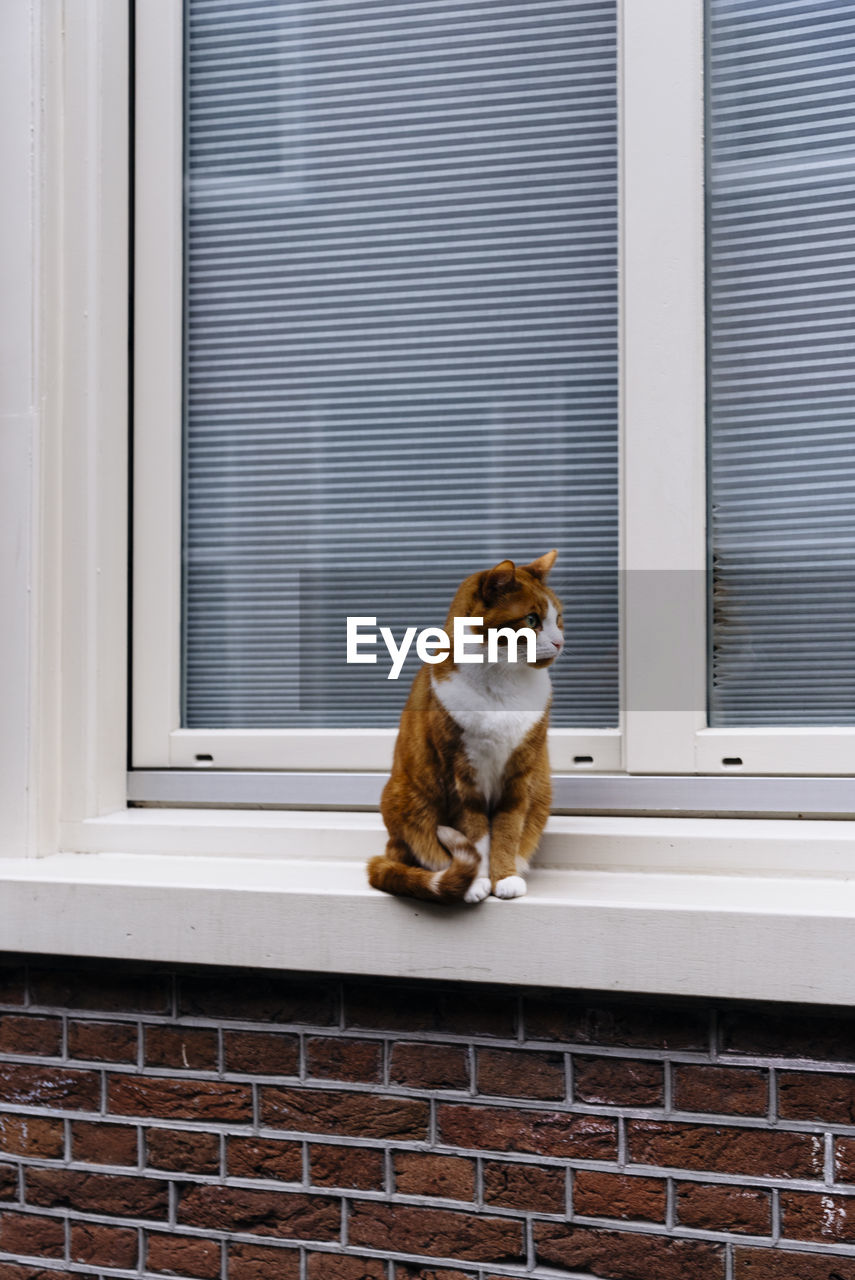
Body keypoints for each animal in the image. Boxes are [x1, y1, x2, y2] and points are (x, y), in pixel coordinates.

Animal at [366, 555, 560, 906]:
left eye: (558, 618)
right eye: (531, 619)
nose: (560, 642)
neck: (505, 684)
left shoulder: (520, 775)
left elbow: (508, 831)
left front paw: (505, 877)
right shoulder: (461, 775)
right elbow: (475, 835)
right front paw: (477, 883)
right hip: (406, 799)